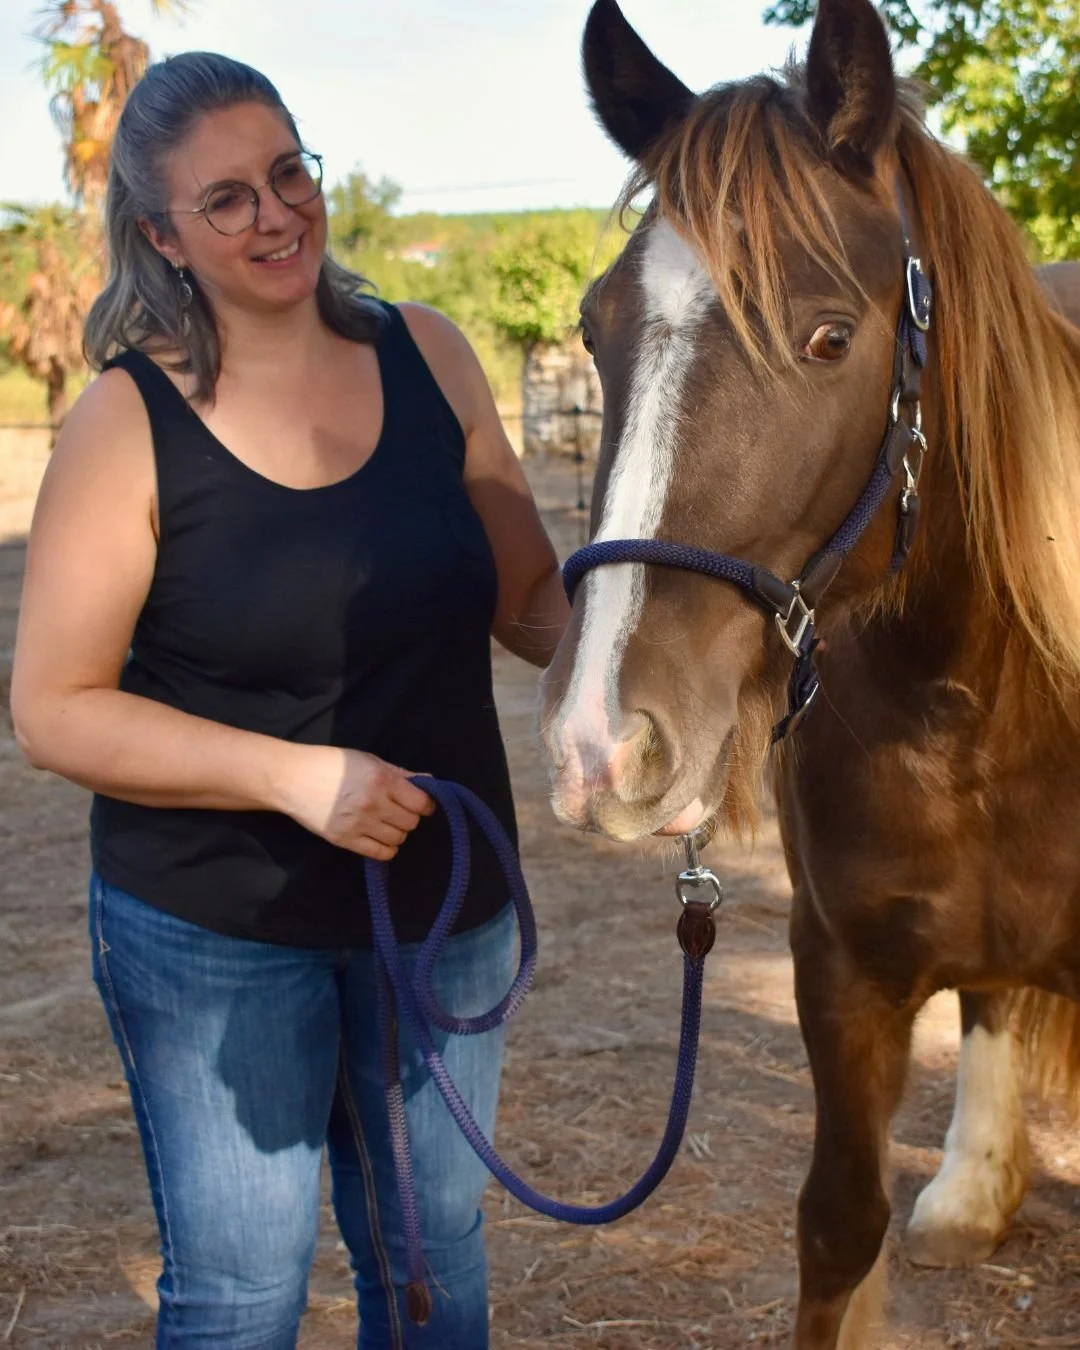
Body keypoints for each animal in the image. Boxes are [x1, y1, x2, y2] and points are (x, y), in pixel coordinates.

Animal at [539, 1, 1080, 1345]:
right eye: (592, 330)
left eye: (829, 335)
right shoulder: (839, 976)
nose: (599, 742)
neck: (975, 707)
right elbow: (839, 1227)